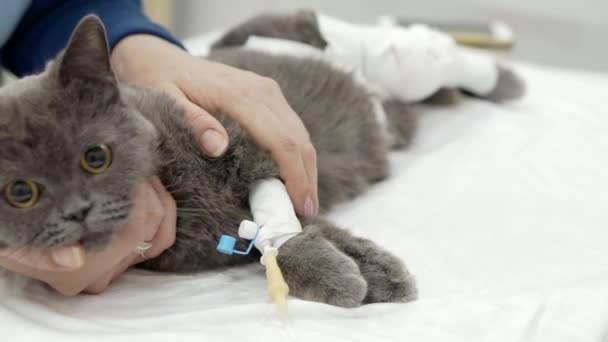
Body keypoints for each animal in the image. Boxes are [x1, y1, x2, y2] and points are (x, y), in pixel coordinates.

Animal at [0, 13, 524, 308]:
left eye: (95, 156)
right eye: (20, 192)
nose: (78, 210)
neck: (178, 193)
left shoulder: (253, 147)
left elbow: (283, 227)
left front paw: (357, 275)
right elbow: (295, 234)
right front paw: (366, 277)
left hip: (362, 51)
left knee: (430, 54)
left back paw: (504, 79)